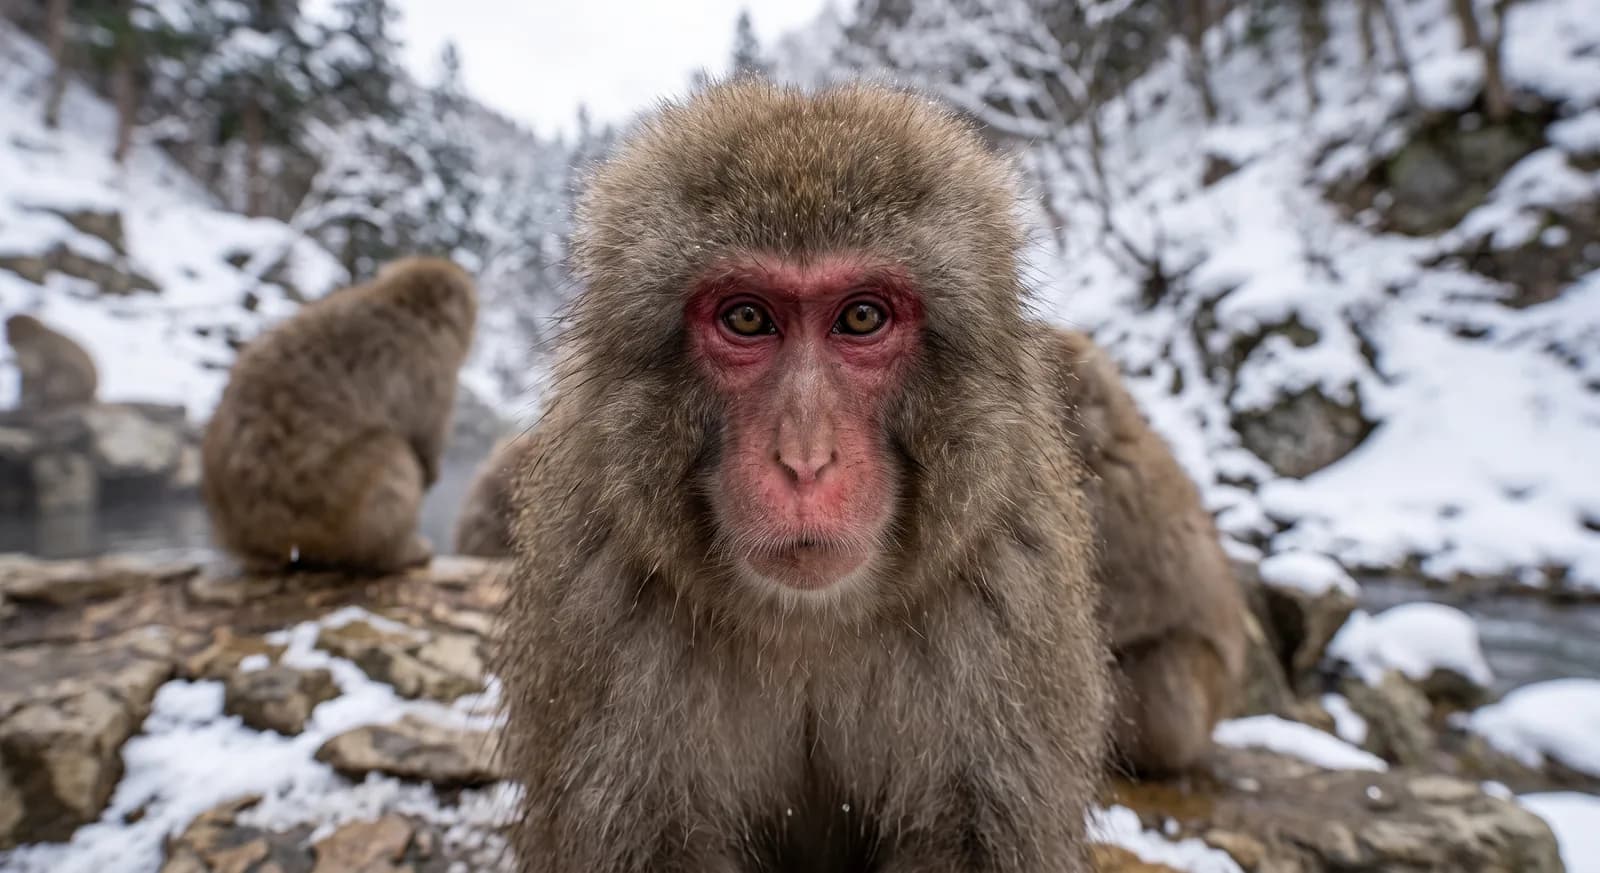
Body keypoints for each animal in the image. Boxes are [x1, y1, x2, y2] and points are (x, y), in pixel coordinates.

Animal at [200, 257, 476, 574]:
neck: (400, 302)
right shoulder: (431, 369)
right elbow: (425, 437)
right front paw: (430, 471)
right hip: (327, 512)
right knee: (392, 453)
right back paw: (399, 553)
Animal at [497, 81, 1111, 873]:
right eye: (747, 318)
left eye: (862, 317)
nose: (805, 459)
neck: (807, 626)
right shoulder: (596, 599)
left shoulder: (1009, 598)